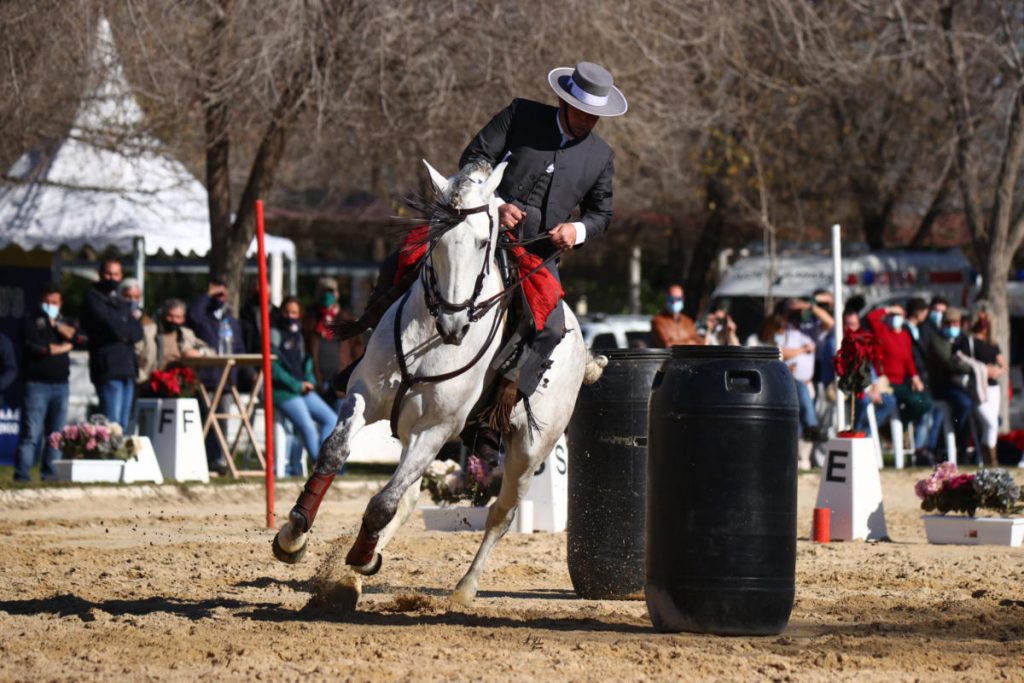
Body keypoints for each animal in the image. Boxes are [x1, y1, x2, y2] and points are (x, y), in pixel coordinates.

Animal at [272, 159, 605, 606]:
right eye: (436, 238)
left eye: (483, 243)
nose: (454, 322)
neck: (431, 337)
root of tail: (580, 350)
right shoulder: (365, 397)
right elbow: (333, 455)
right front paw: (293, 537)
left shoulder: (436, 428)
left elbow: (383, 503)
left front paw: (359, 556)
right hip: (413, 432)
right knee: (409, 496)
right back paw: (358, 572)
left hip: (528, 450)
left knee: (500, 514)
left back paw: (463, 589)